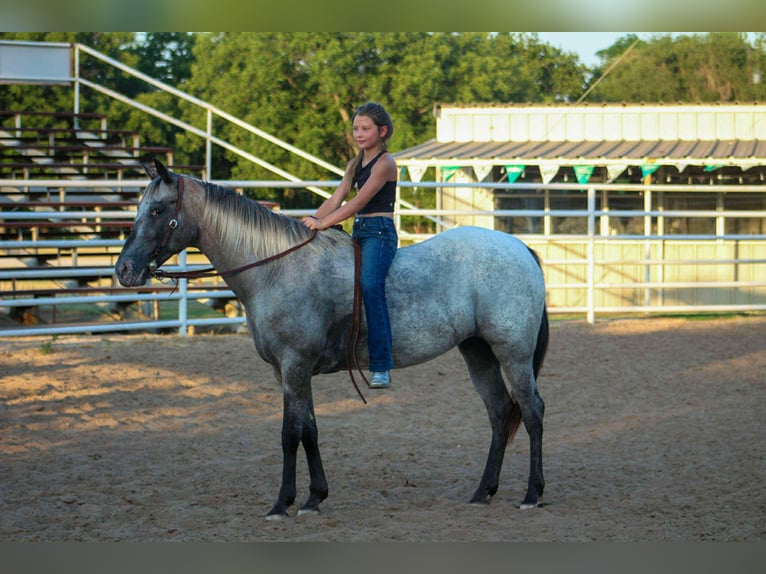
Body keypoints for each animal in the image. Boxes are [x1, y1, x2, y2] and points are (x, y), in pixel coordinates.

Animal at [115, 159, 549, 520]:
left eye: (157, 211)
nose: (124, 270)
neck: (277, 268)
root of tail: (520, 248)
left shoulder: (294, 366)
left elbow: (289, 435)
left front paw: (282, 503)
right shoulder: (290, 372)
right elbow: (309, 431)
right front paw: (314, 498)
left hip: (513, 354)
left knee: (531, 412)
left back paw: (532, 494)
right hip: (478, 353)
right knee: (499, 414)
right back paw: (483, 492)